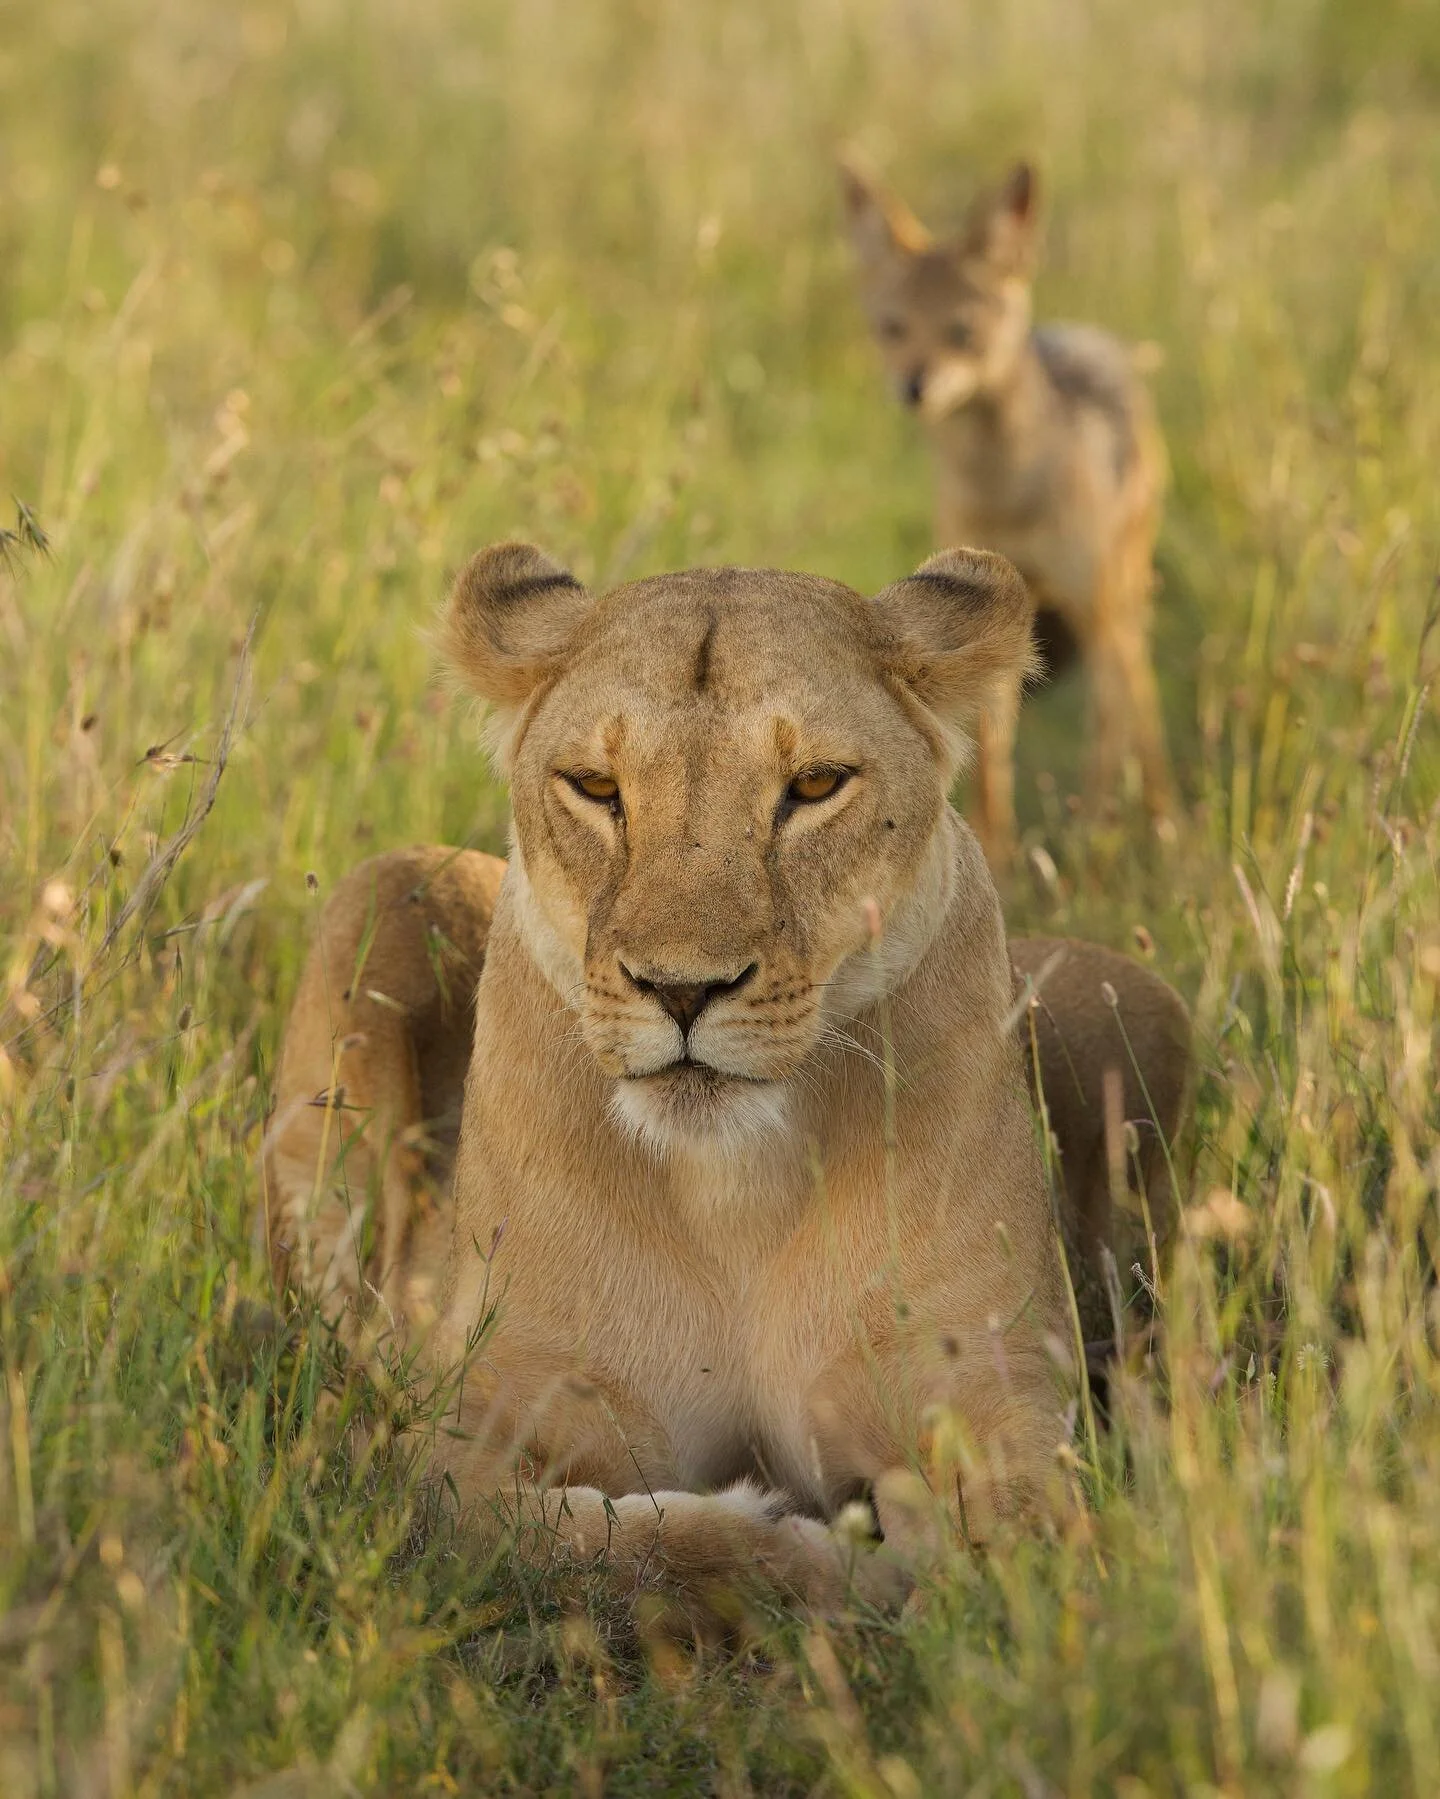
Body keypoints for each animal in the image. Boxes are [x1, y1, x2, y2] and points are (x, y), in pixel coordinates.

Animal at [263, 542, 1191, 1616]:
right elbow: (600, 1542)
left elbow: (1024, 1548)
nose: (682, 987)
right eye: (595, 785)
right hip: (386, 891)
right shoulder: (453, 1437)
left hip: (1137, 998)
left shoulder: (1000, 1404)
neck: (730, 1191)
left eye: (816, 783)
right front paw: (805, 1546)